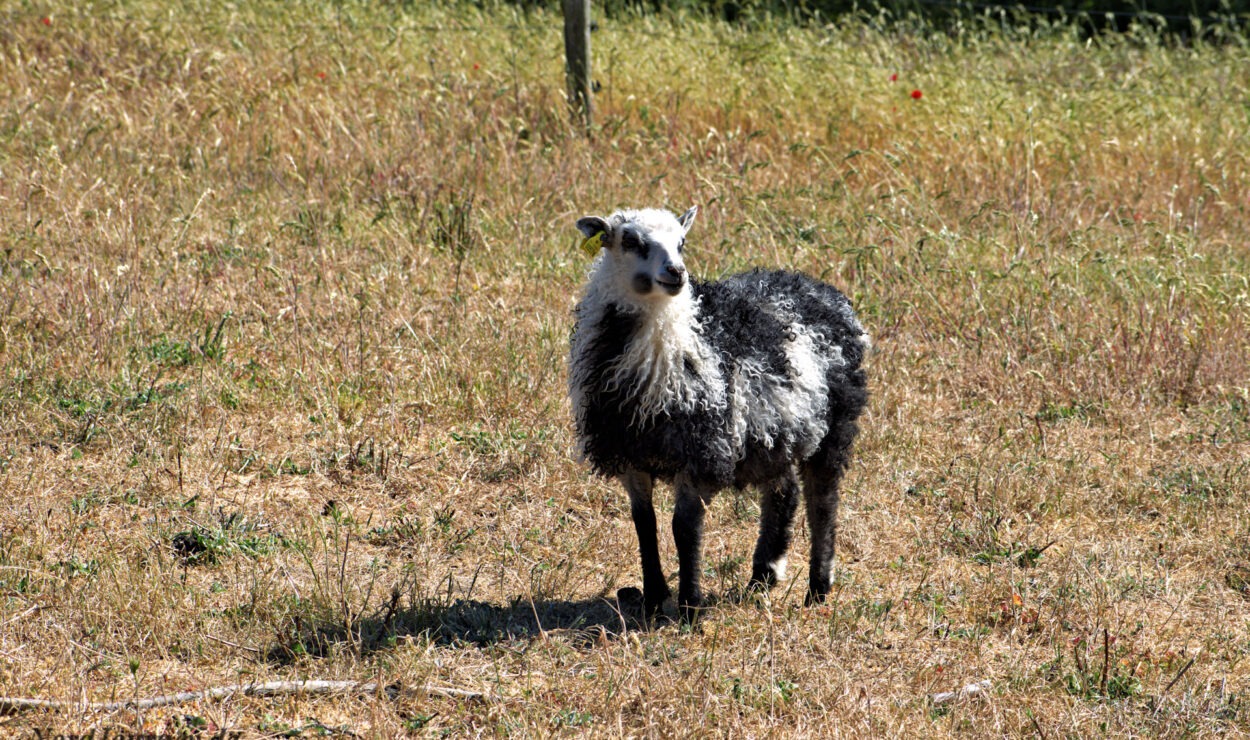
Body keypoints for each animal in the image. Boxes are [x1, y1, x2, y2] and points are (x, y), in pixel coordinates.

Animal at [570, 205, 870, 622]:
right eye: (630, 240)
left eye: (682, 242)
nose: (676, 273)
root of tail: (816, 287)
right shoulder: (630, 453)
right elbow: (645, 523)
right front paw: (653, 598)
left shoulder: (703, 449)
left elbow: (685, 527)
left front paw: (690, 606)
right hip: (773, 430)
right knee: (784, 491)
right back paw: (764, 574)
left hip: (835, 423)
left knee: (822, 501)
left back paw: (817, 588)